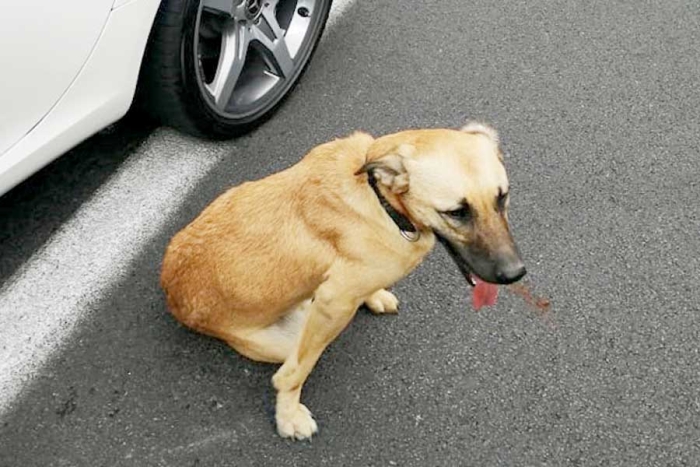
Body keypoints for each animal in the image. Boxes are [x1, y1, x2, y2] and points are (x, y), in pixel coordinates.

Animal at [161, 122, 524, 440]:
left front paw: (374, 296)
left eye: (502, 197)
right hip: (283, 341)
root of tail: (171, 295)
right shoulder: (332, 305)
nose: (515, 274)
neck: (379, 198)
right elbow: (293, 375)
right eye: (457, 212)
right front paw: (288, 416)